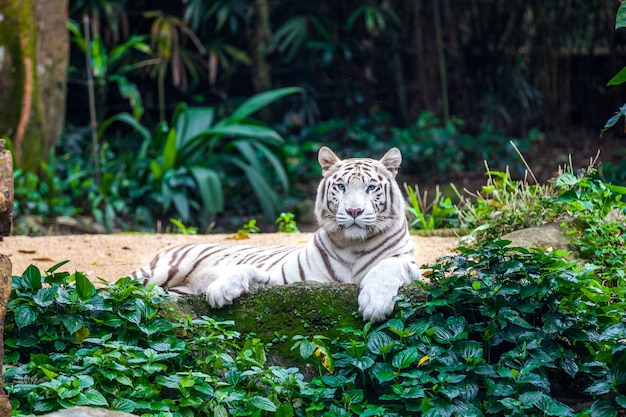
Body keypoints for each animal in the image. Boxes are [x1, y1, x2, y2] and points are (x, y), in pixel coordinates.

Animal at [132, 146, 424, 322]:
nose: (354, 210)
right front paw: (222, 289)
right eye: (341, 187)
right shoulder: (290, 280)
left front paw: (375, 304)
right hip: (157, 272)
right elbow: (245, 269)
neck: (353, 245)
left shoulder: (410, 266)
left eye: (371, 187)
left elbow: (387, 266)